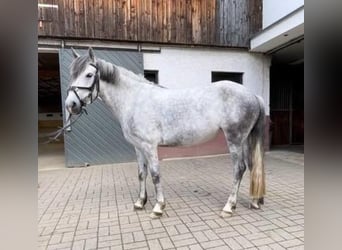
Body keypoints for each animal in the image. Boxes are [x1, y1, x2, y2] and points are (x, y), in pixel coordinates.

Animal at [65, 47, 266, 218]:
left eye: (89, 74)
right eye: (72, 74)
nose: (70, 105)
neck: (134, 99)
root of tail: (253, 95)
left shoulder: (149, 146)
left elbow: (155, 174)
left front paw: (158, 207)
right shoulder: (138, 147)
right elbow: (141, 173)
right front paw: (140, 202)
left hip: (234, 139)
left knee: (239, 169)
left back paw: (229, 207)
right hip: (244, 140)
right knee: (251, 166)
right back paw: (254, 201)